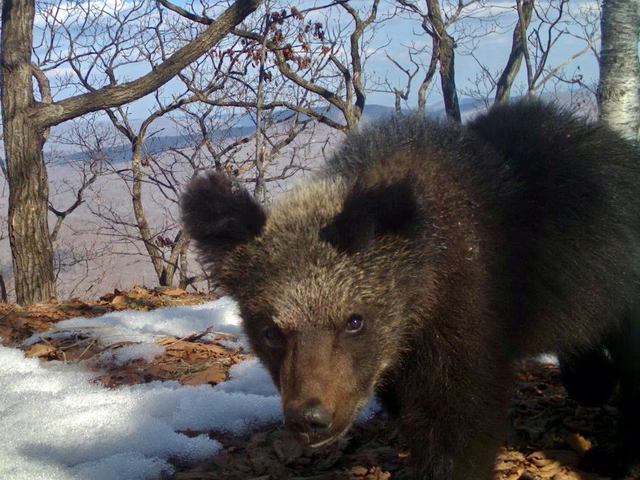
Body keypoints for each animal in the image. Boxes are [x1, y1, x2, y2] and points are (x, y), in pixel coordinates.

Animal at [179, 99, 640, 478]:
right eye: (270, 331)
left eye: (354, 320)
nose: (310, 419)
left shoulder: (469, 314)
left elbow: (459, 421)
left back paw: (614, 453)